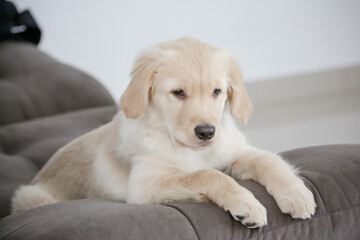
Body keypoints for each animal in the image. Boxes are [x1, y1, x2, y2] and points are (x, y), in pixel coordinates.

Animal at [10, 38, 316, 229]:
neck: (183, 145)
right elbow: (206, 175)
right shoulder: (144, 185)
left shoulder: (236, 152)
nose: (207, 132)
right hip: (31, 195)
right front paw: (245, 203)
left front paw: (297, 194)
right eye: (178, 92)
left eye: (217, 91)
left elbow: (269, 161)